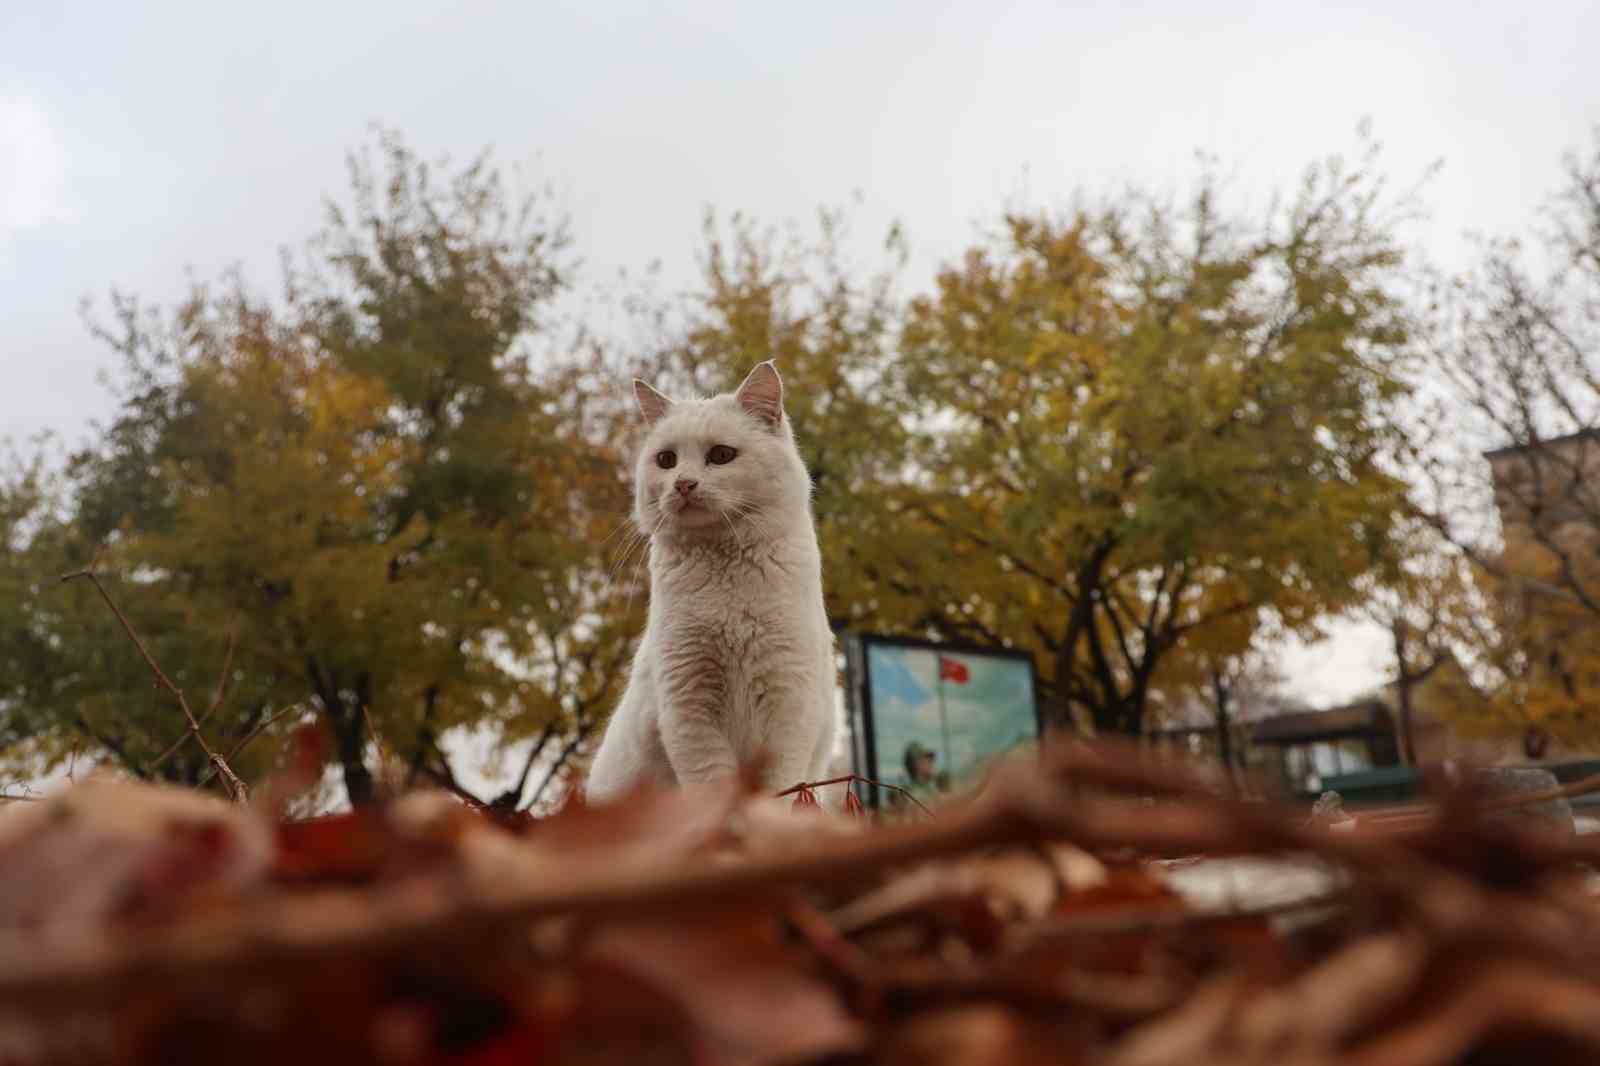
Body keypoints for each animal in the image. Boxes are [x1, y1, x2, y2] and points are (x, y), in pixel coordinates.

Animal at [585, 361, 838, 800]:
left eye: (721, 455)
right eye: (666, 459)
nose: (683, 484)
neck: (725, 571)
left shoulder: (788, 702)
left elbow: (777, 789)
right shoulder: (689, 706)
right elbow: (713, 790)